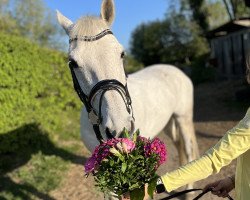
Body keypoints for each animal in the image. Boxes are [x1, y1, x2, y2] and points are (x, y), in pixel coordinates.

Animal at [56, 0, 199, 199]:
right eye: (73, 63)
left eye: (121, 53)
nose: (119, 129)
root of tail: (176, 70)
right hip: (169, 122)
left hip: (183, 118)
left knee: (188, 148)